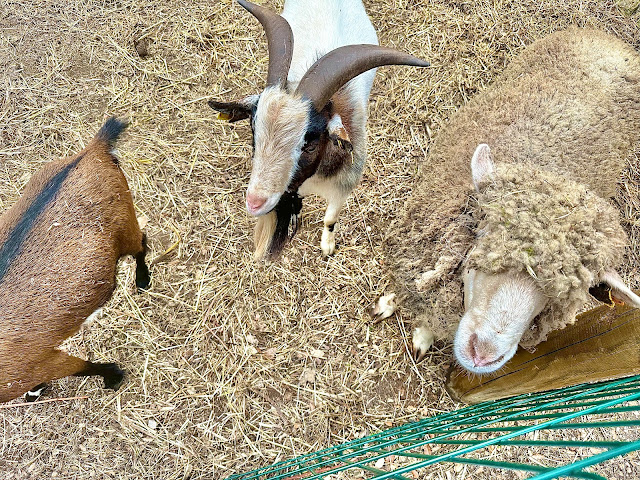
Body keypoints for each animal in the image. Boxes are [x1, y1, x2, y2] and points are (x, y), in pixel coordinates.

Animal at [0, 118, 151, 404]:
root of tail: (91, 151)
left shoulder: (34, 365)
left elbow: (82, 367)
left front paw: (113, 376)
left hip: (125, 221)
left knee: (141, 243)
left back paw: (143, 279)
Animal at [210, 0, 430, 258]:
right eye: (254, 130)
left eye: (309, 144)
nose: (255, 202)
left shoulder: (342, 190)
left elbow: (330, 220)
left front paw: (328, 247)